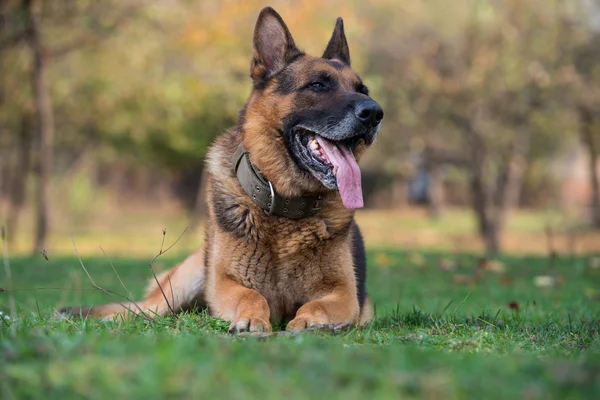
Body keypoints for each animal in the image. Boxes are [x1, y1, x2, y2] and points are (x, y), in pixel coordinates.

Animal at [62, 6, 384, 332]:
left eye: (363, 89)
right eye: (318, 85)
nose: (374, 112)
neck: (285, 209)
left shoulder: (345, 295)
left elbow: (316, 304)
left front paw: (308, 322)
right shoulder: (225, 284)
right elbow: (252, 296)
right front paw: (252, 320)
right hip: (183, 282)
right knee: (141, 309)